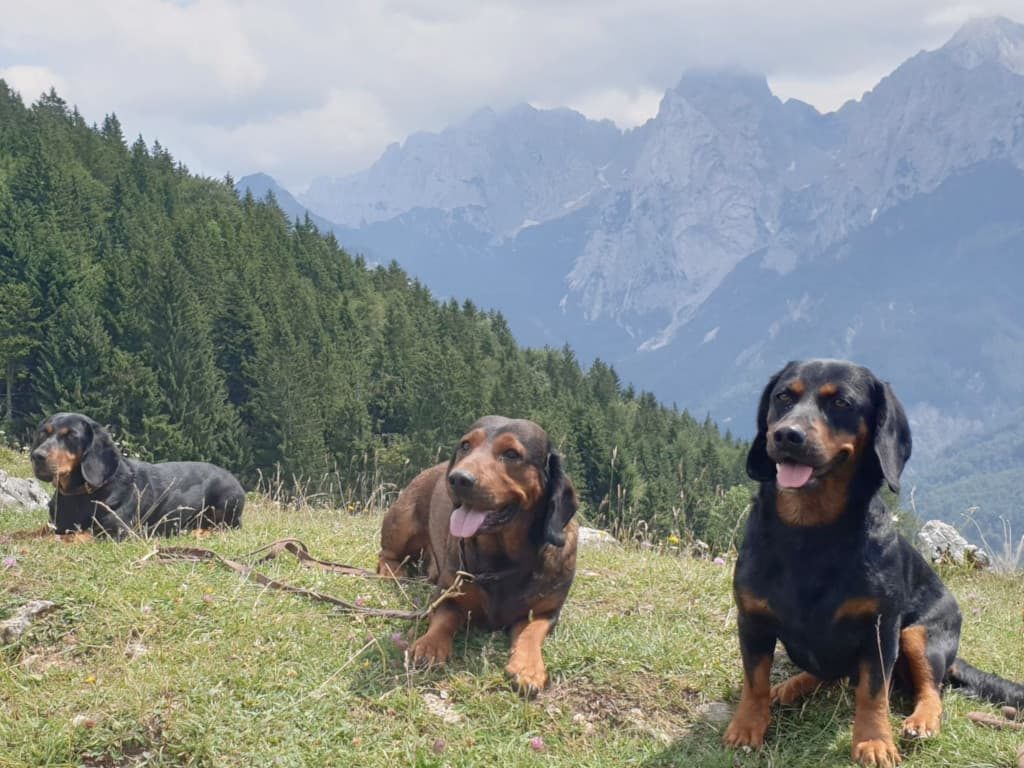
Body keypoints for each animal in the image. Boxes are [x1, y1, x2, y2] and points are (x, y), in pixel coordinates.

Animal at [30, 411, 244, 536]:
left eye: (71, 436)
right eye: (44, 433)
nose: (36, 456)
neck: (80, 494)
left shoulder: (116, 532)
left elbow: (74, 536)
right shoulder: (54, 525)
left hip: (225, 503)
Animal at [378, 417, 585, 696]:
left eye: (512, 454)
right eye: (465, 445)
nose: (457, 479)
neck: (503, 560)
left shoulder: (547, 612)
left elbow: (531, 632)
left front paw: (528, 667)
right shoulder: (447, 594)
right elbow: (444, 618)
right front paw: (430, 645)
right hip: (403, 522)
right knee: (386, 554)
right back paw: (394, 572)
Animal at [724, 362, 1024, 768]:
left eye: (842, 403)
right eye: (783, 396)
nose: (787, 434)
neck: (811, 533)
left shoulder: (879, 630)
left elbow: (873, 692)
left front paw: (873, 741)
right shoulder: (752, 619)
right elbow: (754, 680)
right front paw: (747, 727)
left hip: (919, 635)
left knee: (933, 690)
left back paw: (923, 719)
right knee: (828, 675)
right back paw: (791, 685)